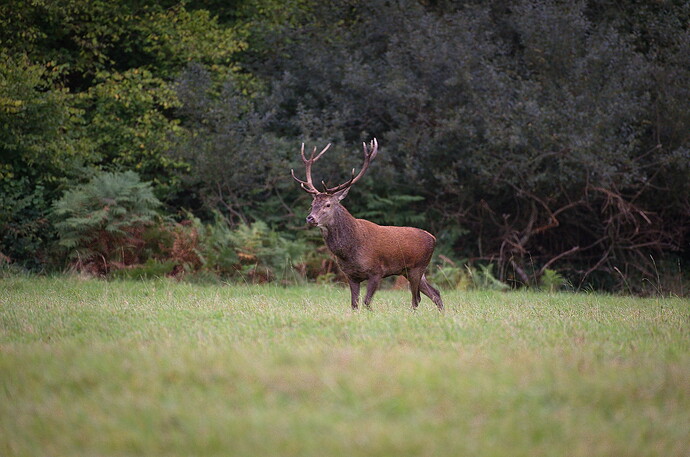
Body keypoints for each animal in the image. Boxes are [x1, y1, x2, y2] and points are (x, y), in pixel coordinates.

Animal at [291, 139, 444, 311]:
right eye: (312, 204)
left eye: (328, 204)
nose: (310, 218)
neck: (349, 251)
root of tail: (433, 238)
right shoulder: (351, 276)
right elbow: (354, 304)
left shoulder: (376, 271)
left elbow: (366, 302)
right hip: (410, 271)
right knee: (435, 293)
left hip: (416, 268)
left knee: (416, 298)